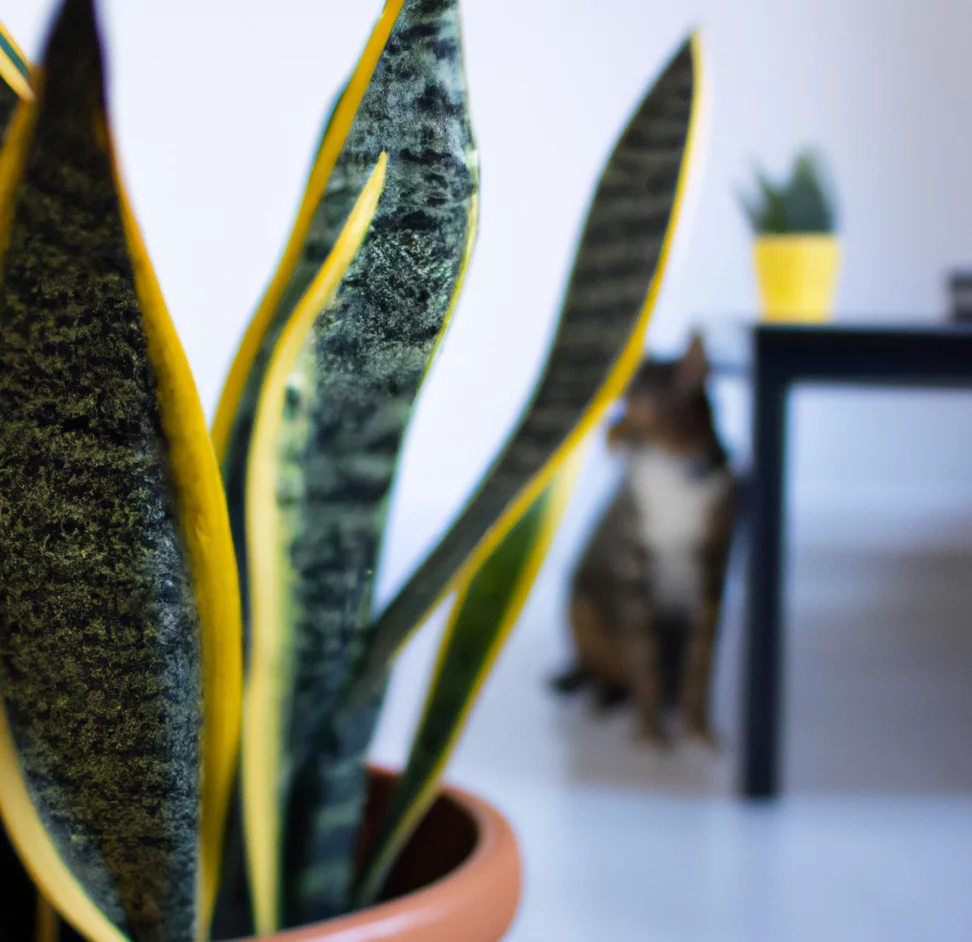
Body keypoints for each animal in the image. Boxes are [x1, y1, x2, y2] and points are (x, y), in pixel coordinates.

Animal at [556, 338, 736, 744]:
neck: (674, 472)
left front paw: (699, 733)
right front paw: (651, 736)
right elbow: (644, 658)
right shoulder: (633, 564)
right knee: (606, 671)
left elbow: (700, 663)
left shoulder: (714, 563)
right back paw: (608, 695)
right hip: (583, 609)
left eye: (637, 403)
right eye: (622, 400)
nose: (610, 430)